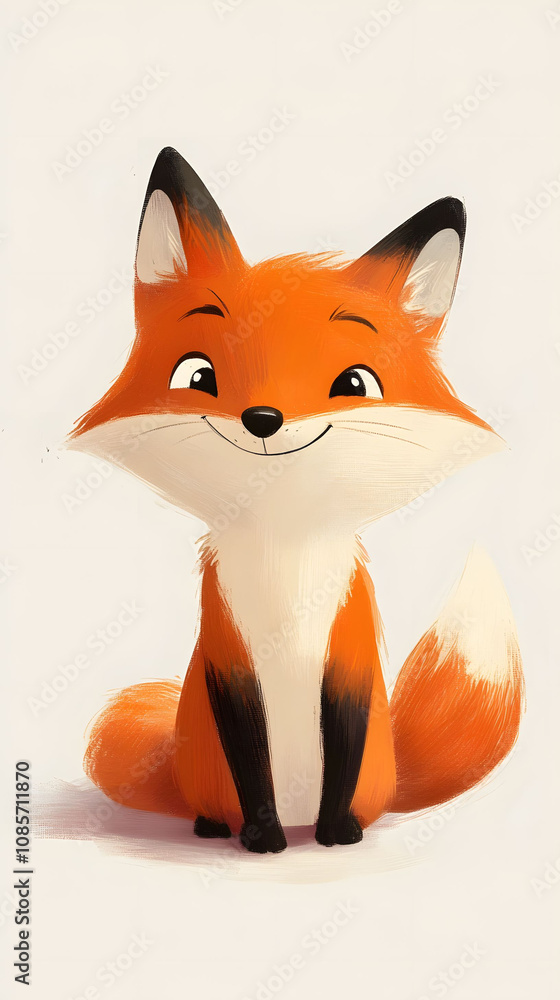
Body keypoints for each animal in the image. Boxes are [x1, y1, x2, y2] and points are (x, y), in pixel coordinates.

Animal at [70, 147, 524, 853]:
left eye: (355, 383)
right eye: (198, 375)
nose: (263, 418)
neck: (284, 568)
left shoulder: (350, 659)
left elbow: (341, 744)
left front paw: (339, 833)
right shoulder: (227, 660)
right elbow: (250, 760)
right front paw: (261, 837)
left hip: (371, 766)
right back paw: (217, 826)